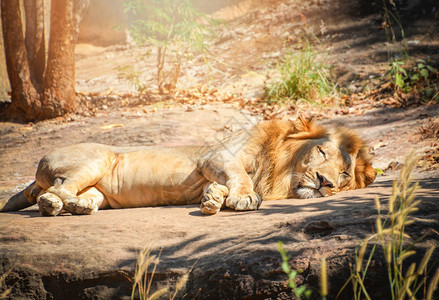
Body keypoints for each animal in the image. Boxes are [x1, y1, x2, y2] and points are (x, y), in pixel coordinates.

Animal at [0, 117, 378, 216]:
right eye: (321, 152)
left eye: (345, 174)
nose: (325, 182)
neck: (278, 170)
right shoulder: (218, 156)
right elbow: (240, 178)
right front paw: (243, 199)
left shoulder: (212, 167)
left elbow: (220, 185)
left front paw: (213, 199)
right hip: (96, 159)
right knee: (57, 189)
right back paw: (59, 204)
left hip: (100, 191)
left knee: (70, 195)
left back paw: (75, 206)